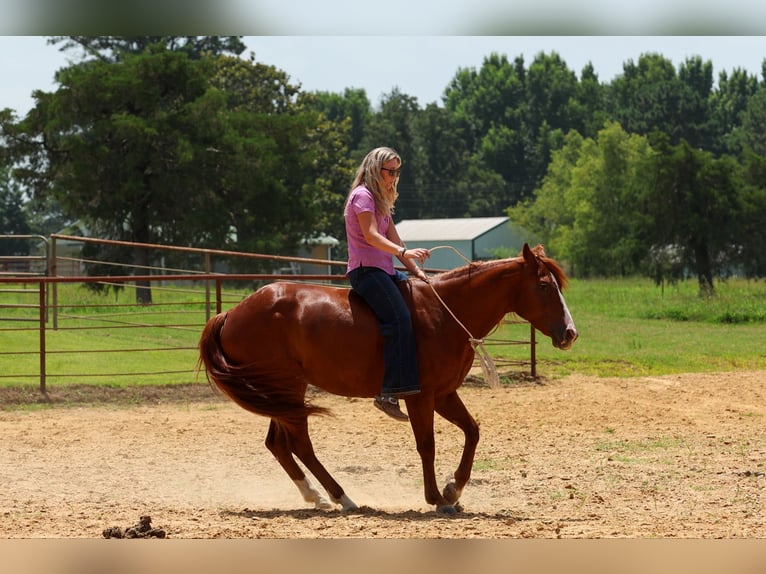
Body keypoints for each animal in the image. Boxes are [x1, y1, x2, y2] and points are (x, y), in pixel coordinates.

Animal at [197, 242, 578, 514]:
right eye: (544, 286)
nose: (570, 333)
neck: (444, 312)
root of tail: (231, 312)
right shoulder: (420, 396)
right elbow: (427, 445)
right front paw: (437, 498)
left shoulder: (443, 394)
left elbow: (472, 431)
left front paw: (454, 488)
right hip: (285, 387)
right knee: (299, 443)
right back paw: (341, 497)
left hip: (282, 392)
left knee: (279, 444)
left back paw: (316, 495)